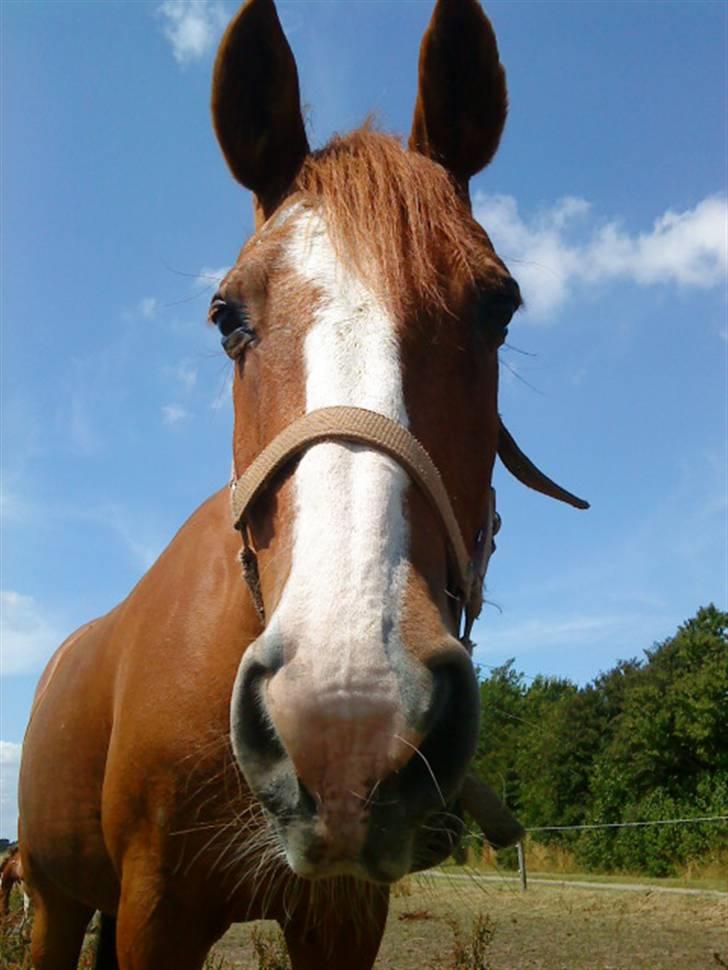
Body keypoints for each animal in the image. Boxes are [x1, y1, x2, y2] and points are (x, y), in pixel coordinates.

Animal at [15, 1, 584, 968]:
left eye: (498, 308)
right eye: (226, 318)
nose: (346, 712)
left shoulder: (342, 915)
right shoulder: (154, 914)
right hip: (54, 902)